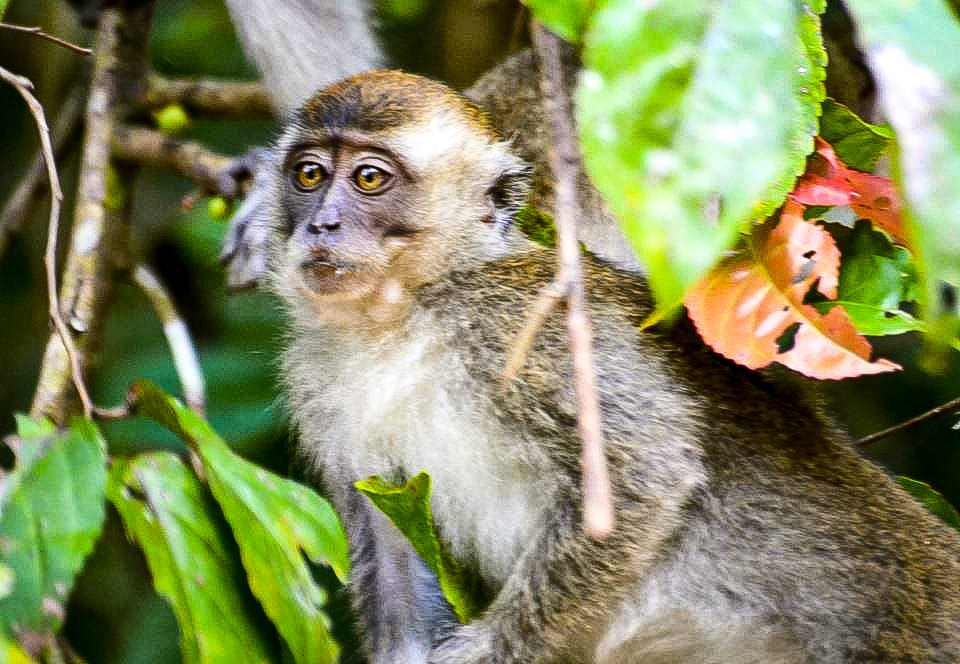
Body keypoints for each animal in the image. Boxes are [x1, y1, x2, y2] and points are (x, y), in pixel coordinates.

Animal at [258, 69, 960, 663]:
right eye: (310, 175)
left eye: (369, 179)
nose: (322, 225)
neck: (408, 315)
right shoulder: (322, 380)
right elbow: (395, 551)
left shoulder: (523, 325)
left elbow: (644, 470)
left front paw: (493, 650)